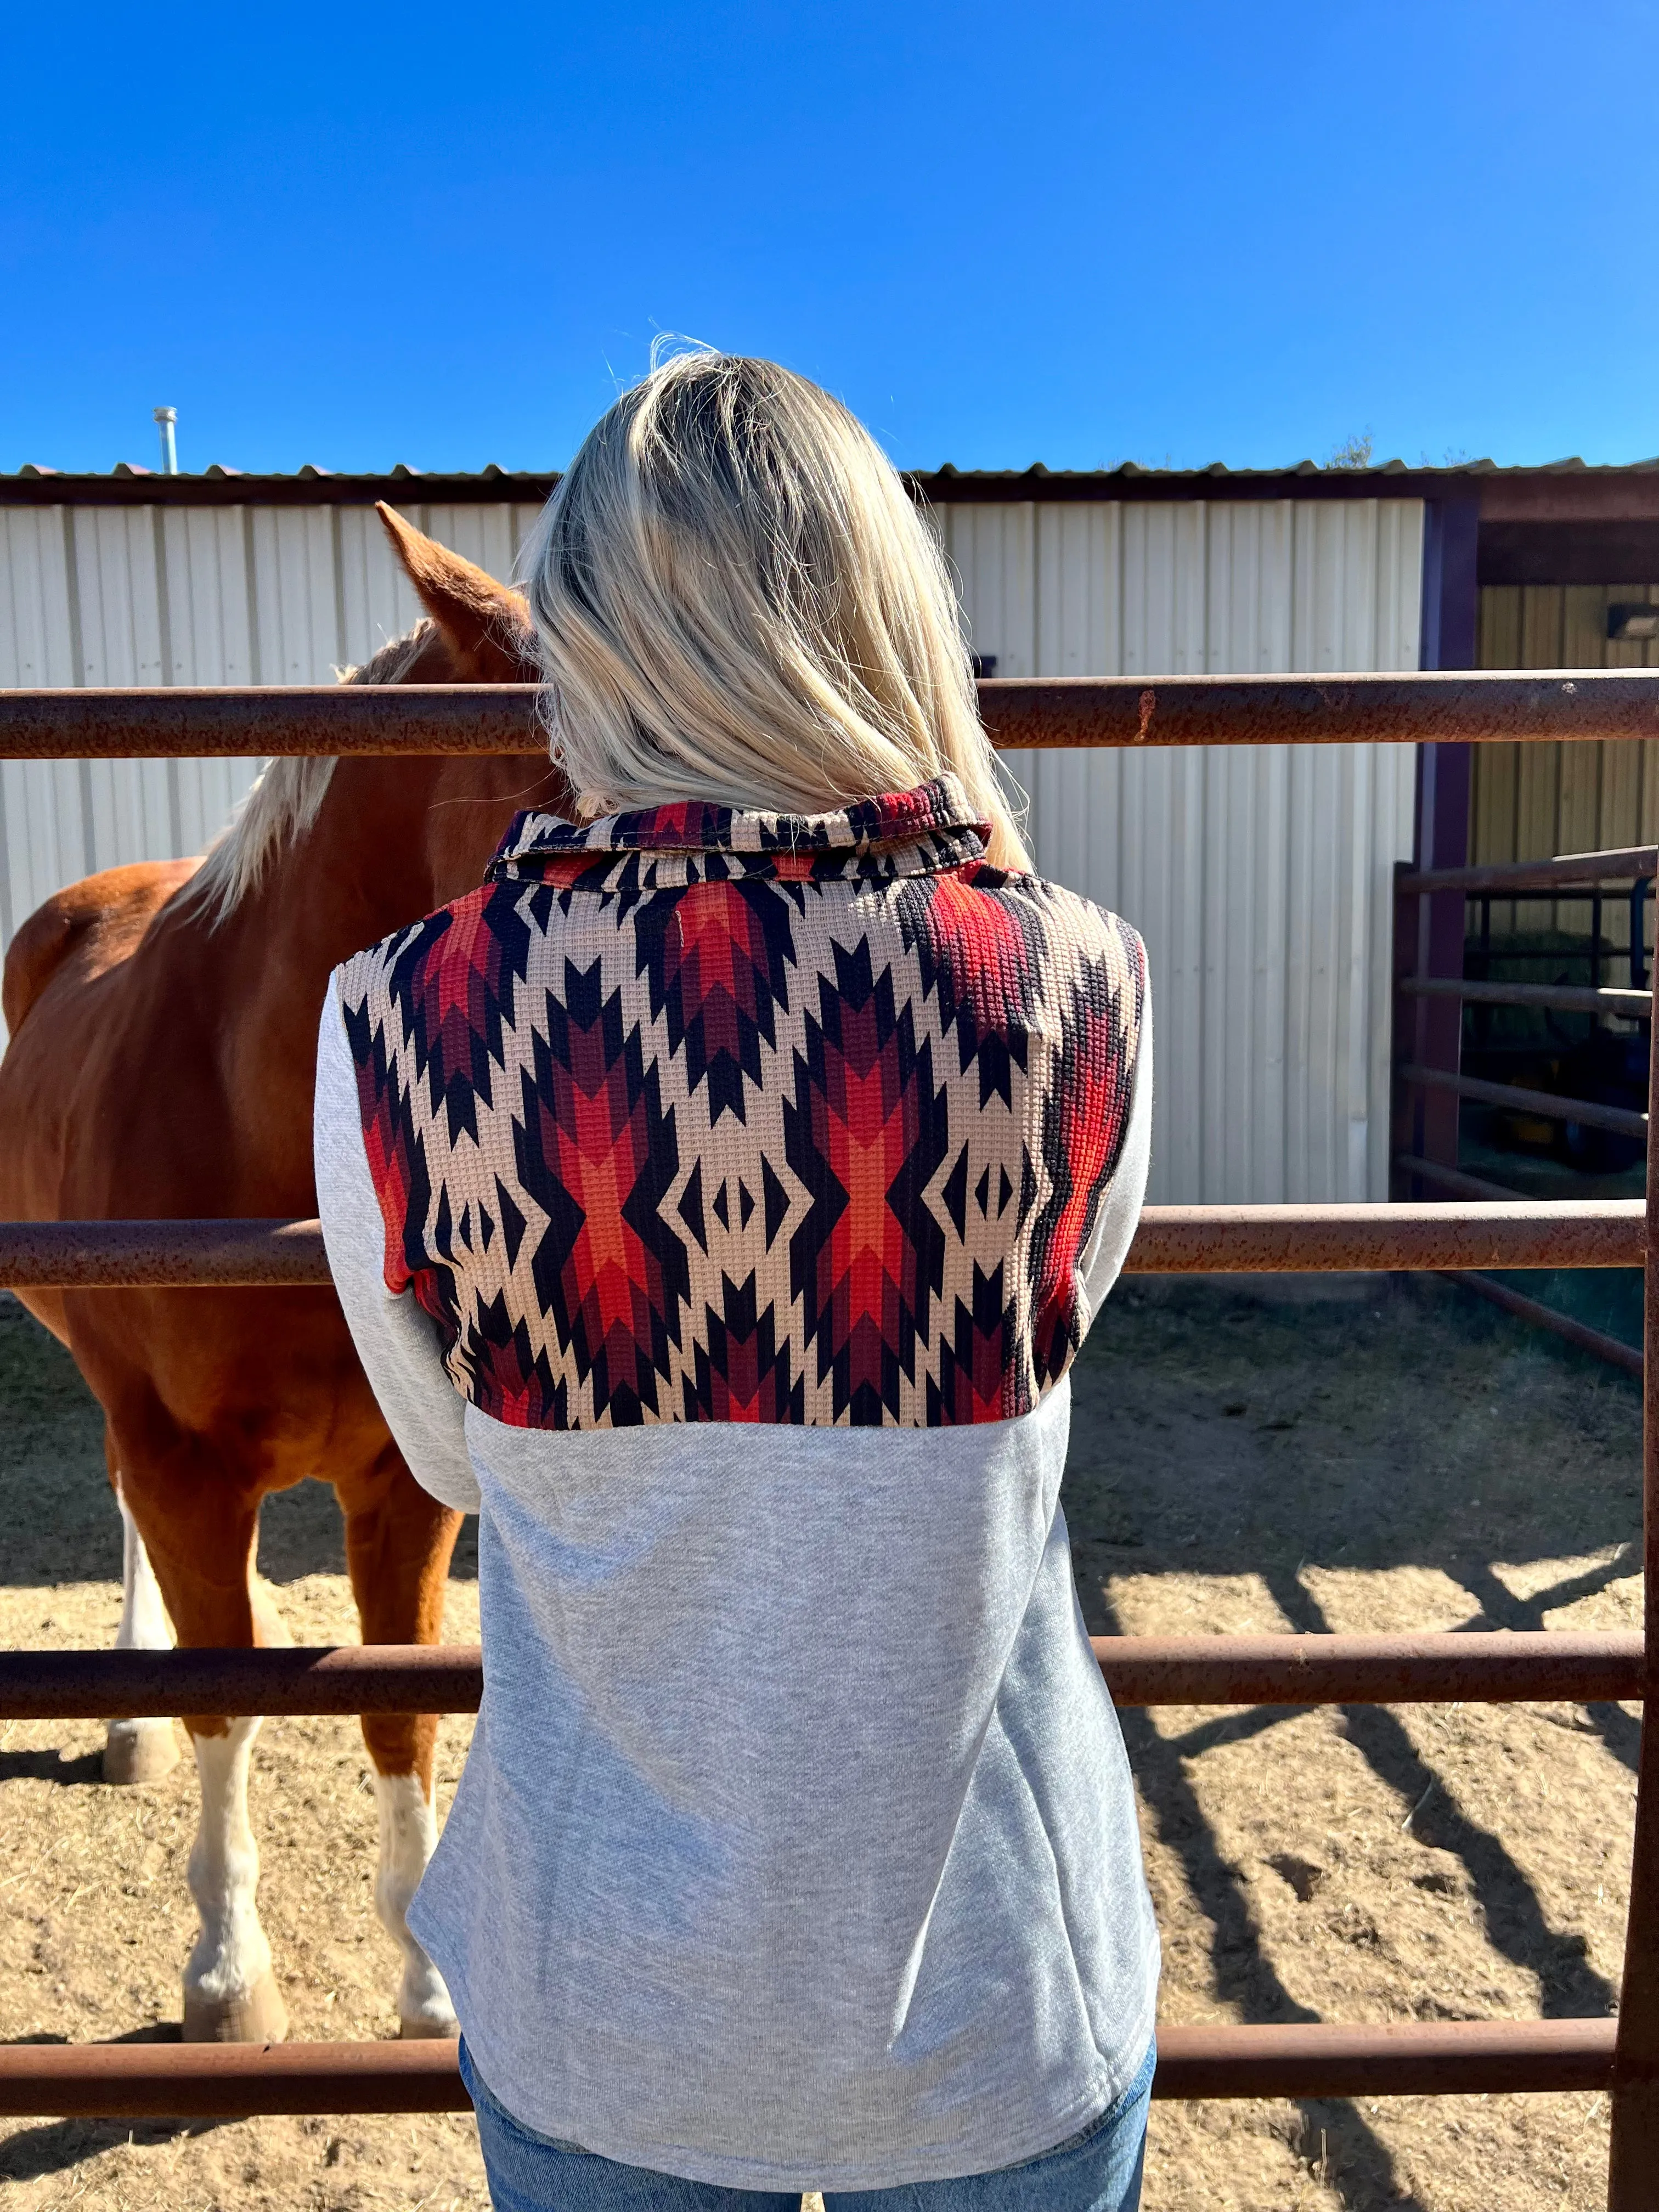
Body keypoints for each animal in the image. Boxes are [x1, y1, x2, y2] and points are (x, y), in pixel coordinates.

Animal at [0, 502, 566, 2035]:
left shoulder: (408, 1487)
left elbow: (399, 1707)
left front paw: (428, 1988)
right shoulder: (191, 1464)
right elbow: (229, 1699)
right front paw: (225, 1974)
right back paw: (128, 1718)